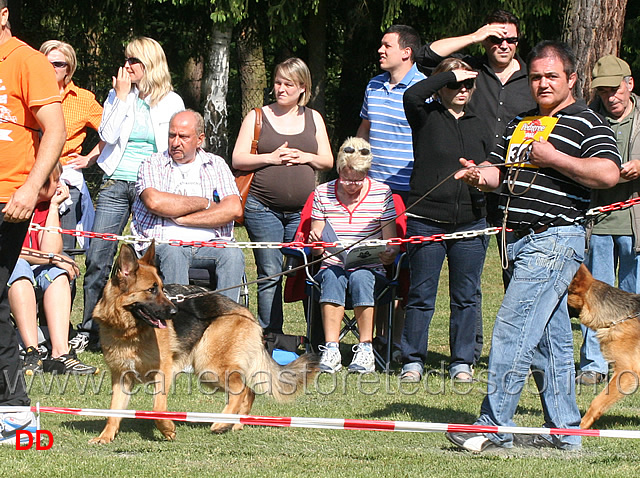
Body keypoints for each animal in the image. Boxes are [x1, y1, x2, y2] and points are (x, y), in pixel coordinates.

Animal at [89, 243, 318, 444]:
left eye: (161, 288)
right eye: (152, 290)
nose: (174, 311)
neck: (128, 331)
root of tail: (246, 313)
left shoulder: (164, 371)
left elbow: (157, 408)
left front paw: (168, 429)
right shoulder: (121, 378)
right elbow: (113, 411)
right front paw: (106, 436)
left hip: (209, 367)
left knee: (241, 389)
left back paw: (221, 423)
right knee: (249, 390)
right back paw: (235, 423)